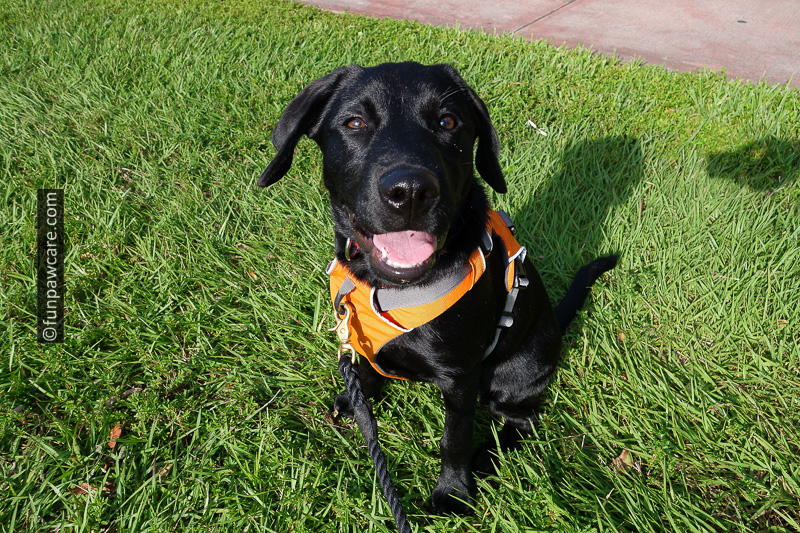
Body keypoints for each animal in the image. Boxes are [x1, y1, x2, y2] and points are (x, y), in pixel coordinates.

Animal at [258, 62, 620, 516]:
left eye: (448, 122)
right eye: (355, 122)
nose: (410, 192)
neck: (388, 289)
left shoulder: (461, 377)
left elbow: (455, 439)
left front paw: (453, 492)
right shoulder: (358, 334)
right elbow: (365, 370)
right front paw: (356, 400)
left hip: (514, 374)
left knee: (522, 420)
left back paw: (488, 456)